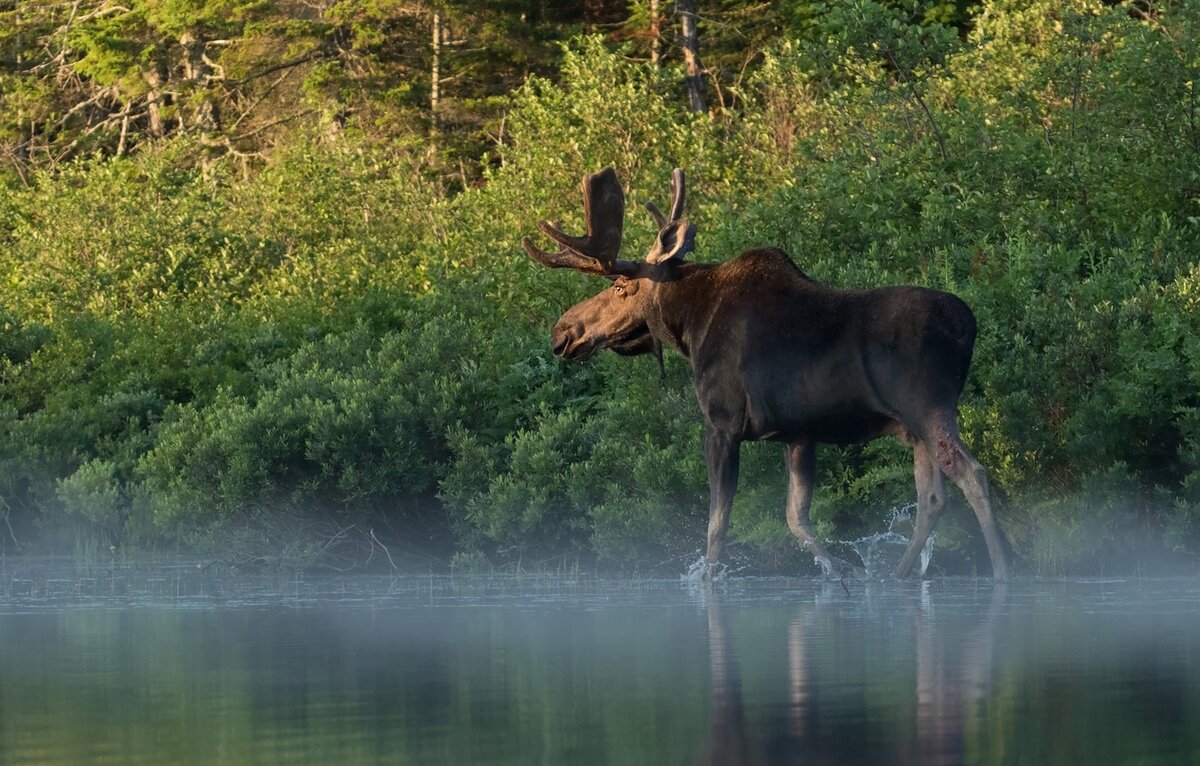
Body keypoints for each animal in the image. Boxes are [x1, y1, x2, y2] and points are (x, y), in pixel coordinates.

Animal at [520, 165, 1008, 578]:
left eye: (621, 287)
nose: (563, 331)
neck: (690, 326)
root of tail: (969, 326)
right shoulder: (798, 434)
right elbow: (797, 519)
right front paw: (839, 575)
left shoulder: (722, 424)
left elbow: (717, 526)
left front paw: (711, 582)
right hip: (913, 427)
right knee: (932, 498)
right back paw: (899, 575)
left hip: (927, 406)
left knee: (973, 475)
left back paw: (1003, 571)